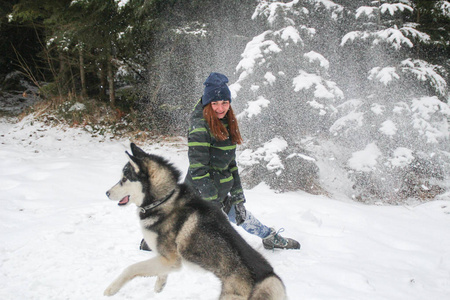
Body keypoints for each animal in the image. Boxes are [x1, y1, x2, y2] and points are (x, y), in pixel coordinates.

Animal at [104, 144, 286, 300]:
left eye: (124, 179)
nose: (106, 193)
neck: (164, 199)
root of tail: (269, 277)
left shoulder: (170, 259)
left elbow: (131, 268)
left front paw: (111, 289)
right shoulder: (166, 260)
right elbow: (160, 271)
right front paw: (160, 284)